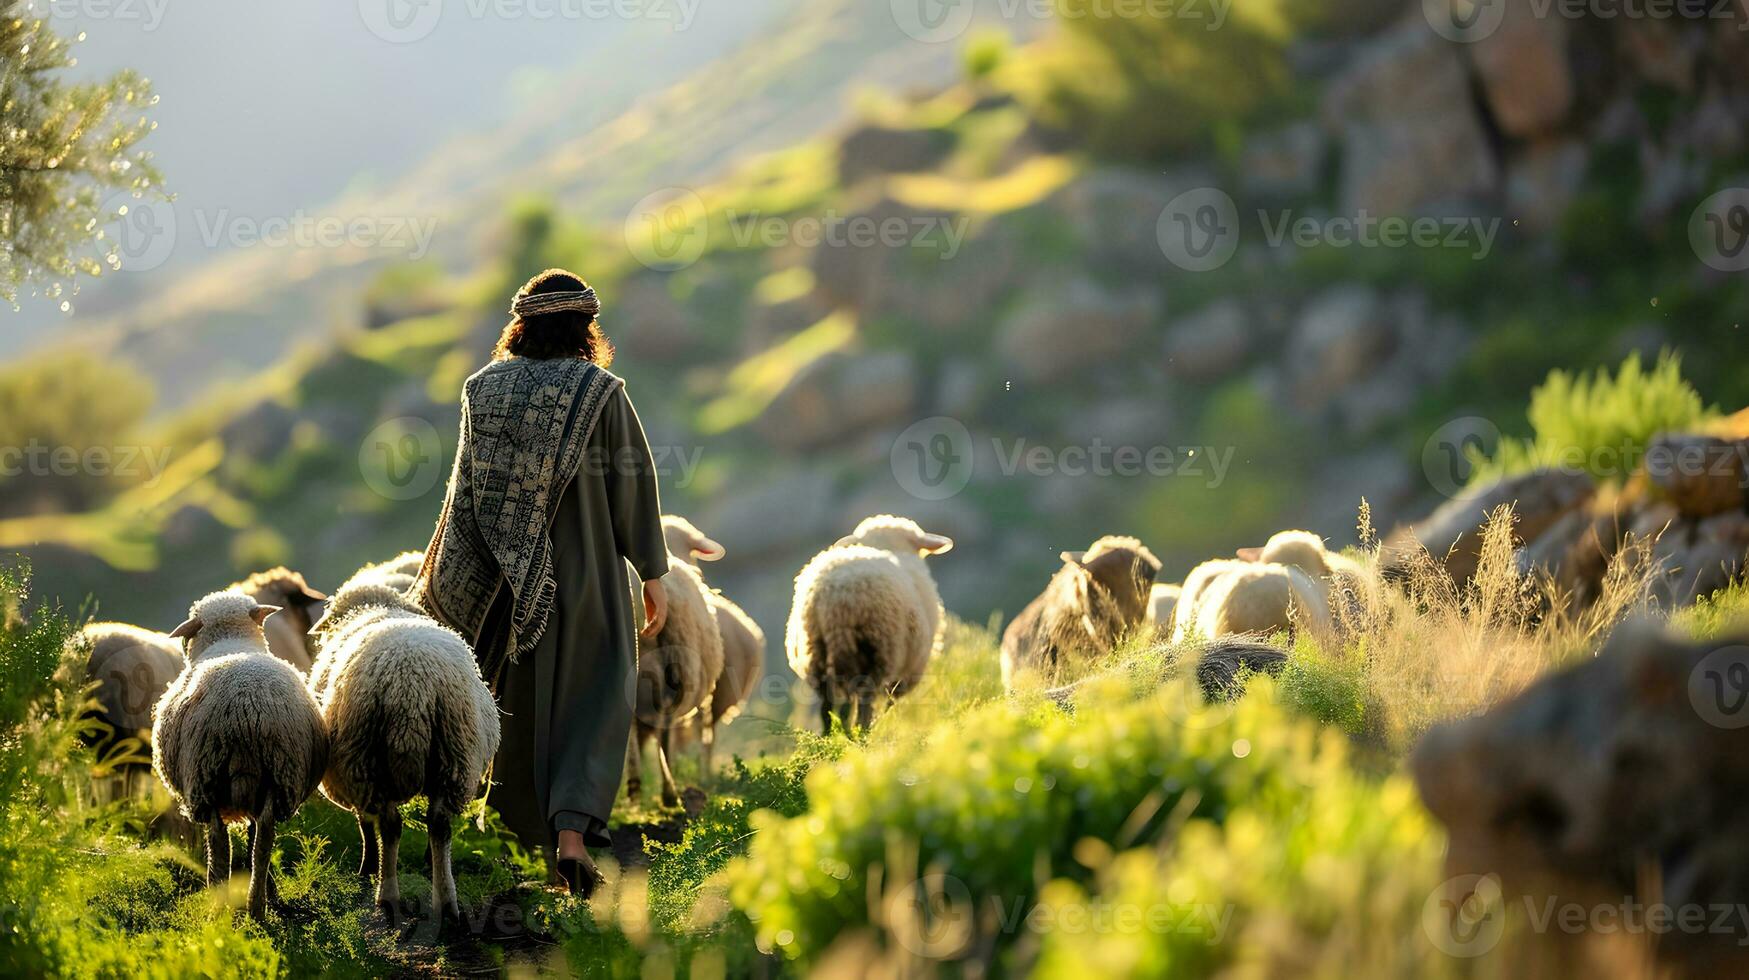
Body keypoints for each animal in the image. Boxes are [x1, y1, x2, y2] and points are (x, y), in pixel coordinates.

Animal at [149, 588, 328, 917]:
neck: (232, 638)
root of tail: (246, 713)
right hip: (277, 777)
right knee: (262, 844)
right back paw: (259, 904)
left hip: (205, 779)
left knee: (221, 847)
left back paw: (220, 906)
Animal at [306, 570, 500, 924]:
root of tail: (412, 686)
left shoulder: (351, 773)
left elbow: (364, 823)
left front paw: (367, 867)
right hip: (456, 759)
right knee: (439, 826)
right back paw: (445, 901)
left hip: (368, 761)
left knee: (390, 826)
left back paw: (387, 895)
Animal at [790, 518, 958, 731]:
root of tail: (837, 593)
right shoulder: (909, 670)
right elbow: (890, 703)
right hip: (878, 648)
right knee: (863, 701)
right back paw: (862, 731)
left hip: (815, 651)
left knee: (828, 706)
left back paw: (834, 735)